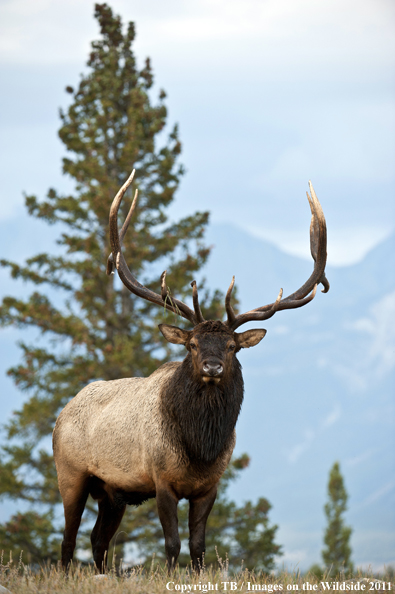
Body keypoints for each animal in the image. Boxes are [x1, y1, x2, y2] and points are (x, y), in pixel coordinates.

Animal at [53, 170, 332, 568]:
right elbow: (171, 545)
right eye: (192, 344)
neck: (201, 448)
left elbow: (199, 546)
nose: (213, 366)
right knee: (68, 538)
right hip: (71, 474)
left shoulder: (209, 487)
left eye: (232, 346)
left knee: (98, 539)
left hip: (113, 491)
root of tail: (63, 412)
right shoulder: (161, 480)